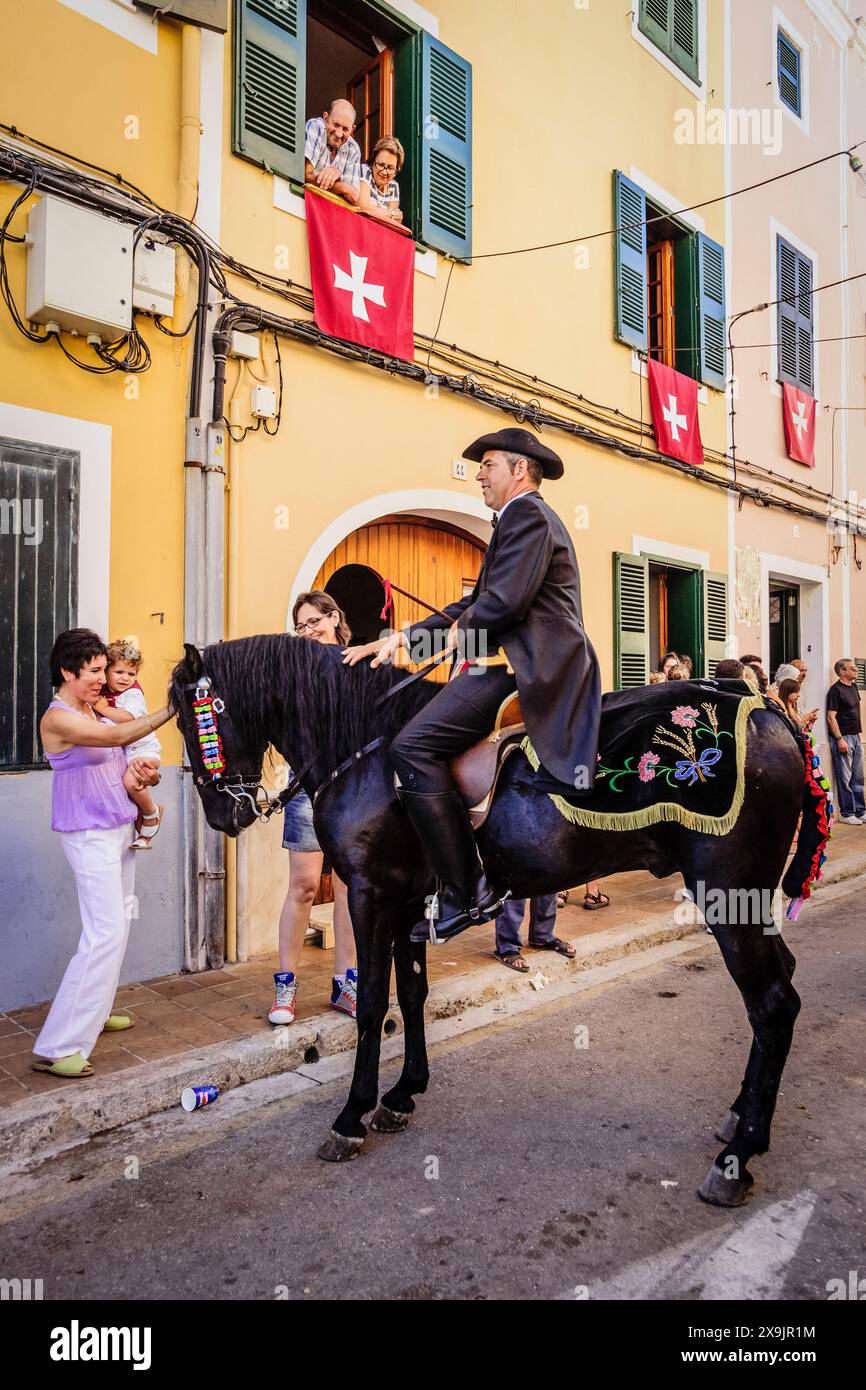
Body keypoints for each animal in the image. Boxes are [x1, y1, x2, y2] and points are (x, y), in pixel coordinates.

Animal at [170, 636, 828, 1200]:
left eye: (187, 718)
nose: (224, 815)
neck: (365, 751)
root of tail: (771, 713)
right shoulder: (409, 900)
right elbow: (413, 993)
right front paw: (403, 1093)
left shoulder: (369, 893)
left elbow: (375, 1003)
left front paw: (352, 1115)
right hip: (745, 899)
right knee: (782, 984)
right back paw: (738, 1120)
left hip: (728, 893)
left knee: (772, 1003)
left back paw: (738, 1156)